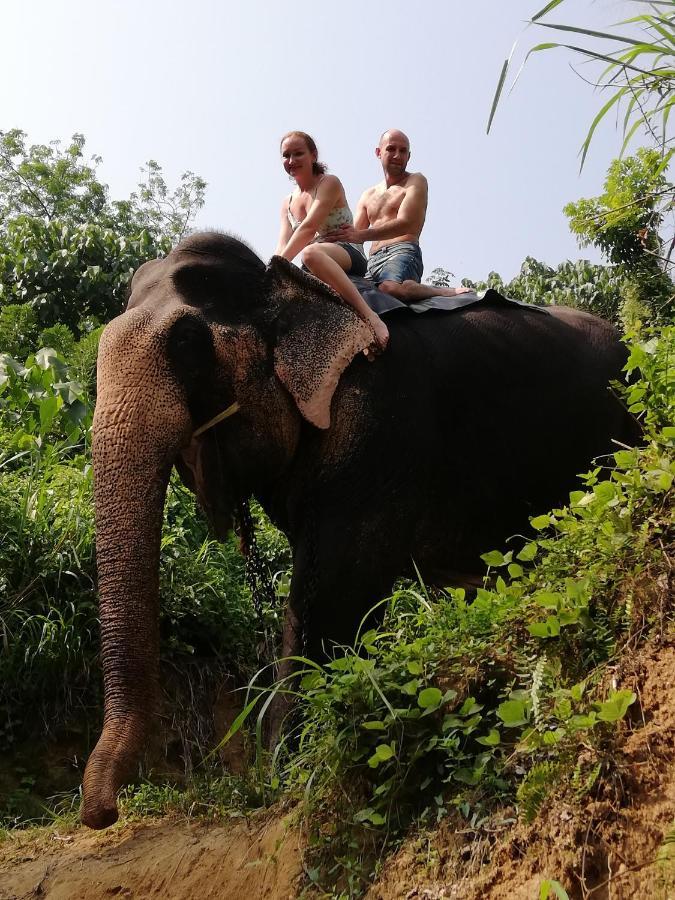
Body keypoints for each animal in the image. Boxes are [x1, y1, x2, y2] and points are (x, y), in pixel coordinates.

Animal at [79, 230, 640, 828]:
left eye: (189, 343)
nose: (103, 813)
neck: (284, 284)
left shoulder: (379, 426)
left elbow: (331, 597)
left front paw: (291, 779)